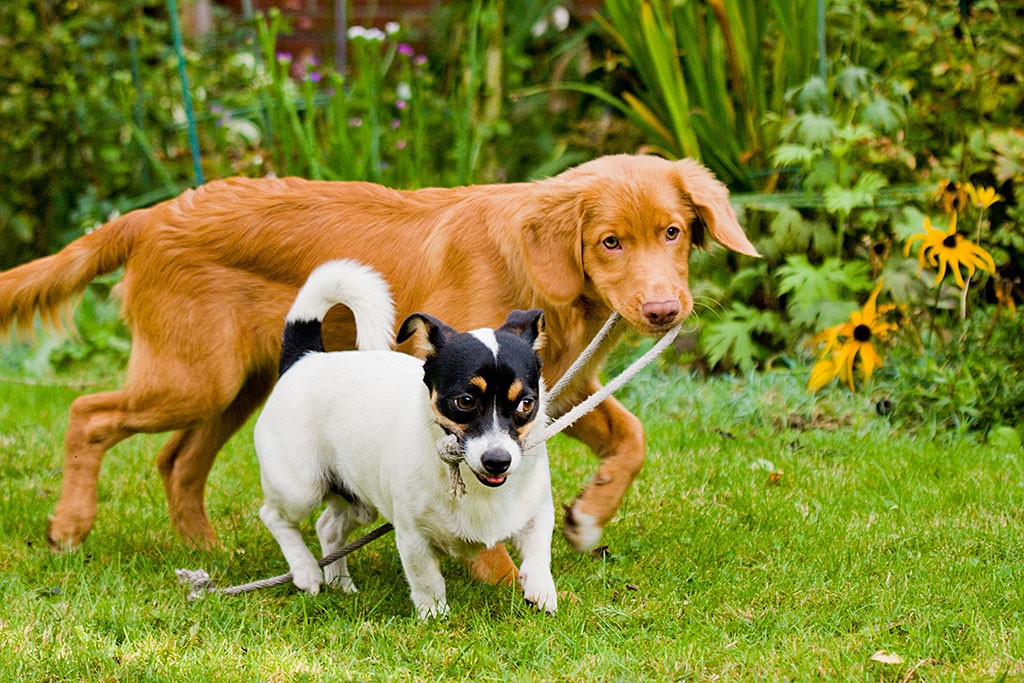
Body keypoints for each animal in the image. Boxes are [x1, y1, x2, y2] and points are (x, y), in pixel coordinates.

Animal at [0, 153, 753, 573]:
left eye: (673, 231)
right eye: (609, 242)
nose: (664, 311)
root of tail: (152, 215)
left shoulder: (552, 390)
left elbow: (633, 437)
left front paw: (589, 515)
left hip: (246, 384)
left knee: (177, 461)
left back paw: (205, 552)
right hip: (193, 380)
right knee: (87, 413)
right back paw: (69, 527)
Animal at [256, 259, 561, 618]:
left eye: (526, 403)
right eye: (465, 402)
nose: (498, 460)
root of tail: (305, 357)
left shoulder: (537, 512)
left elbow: (539, 552)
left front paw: (541, 590)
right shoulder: (414, 536)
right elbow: (427, 579)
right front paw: (434, 616)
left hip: (357, 499)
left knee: (327, 528)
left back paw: (340, 583)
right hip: (300, 487)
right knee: (274, 516)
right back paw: (306, 570)